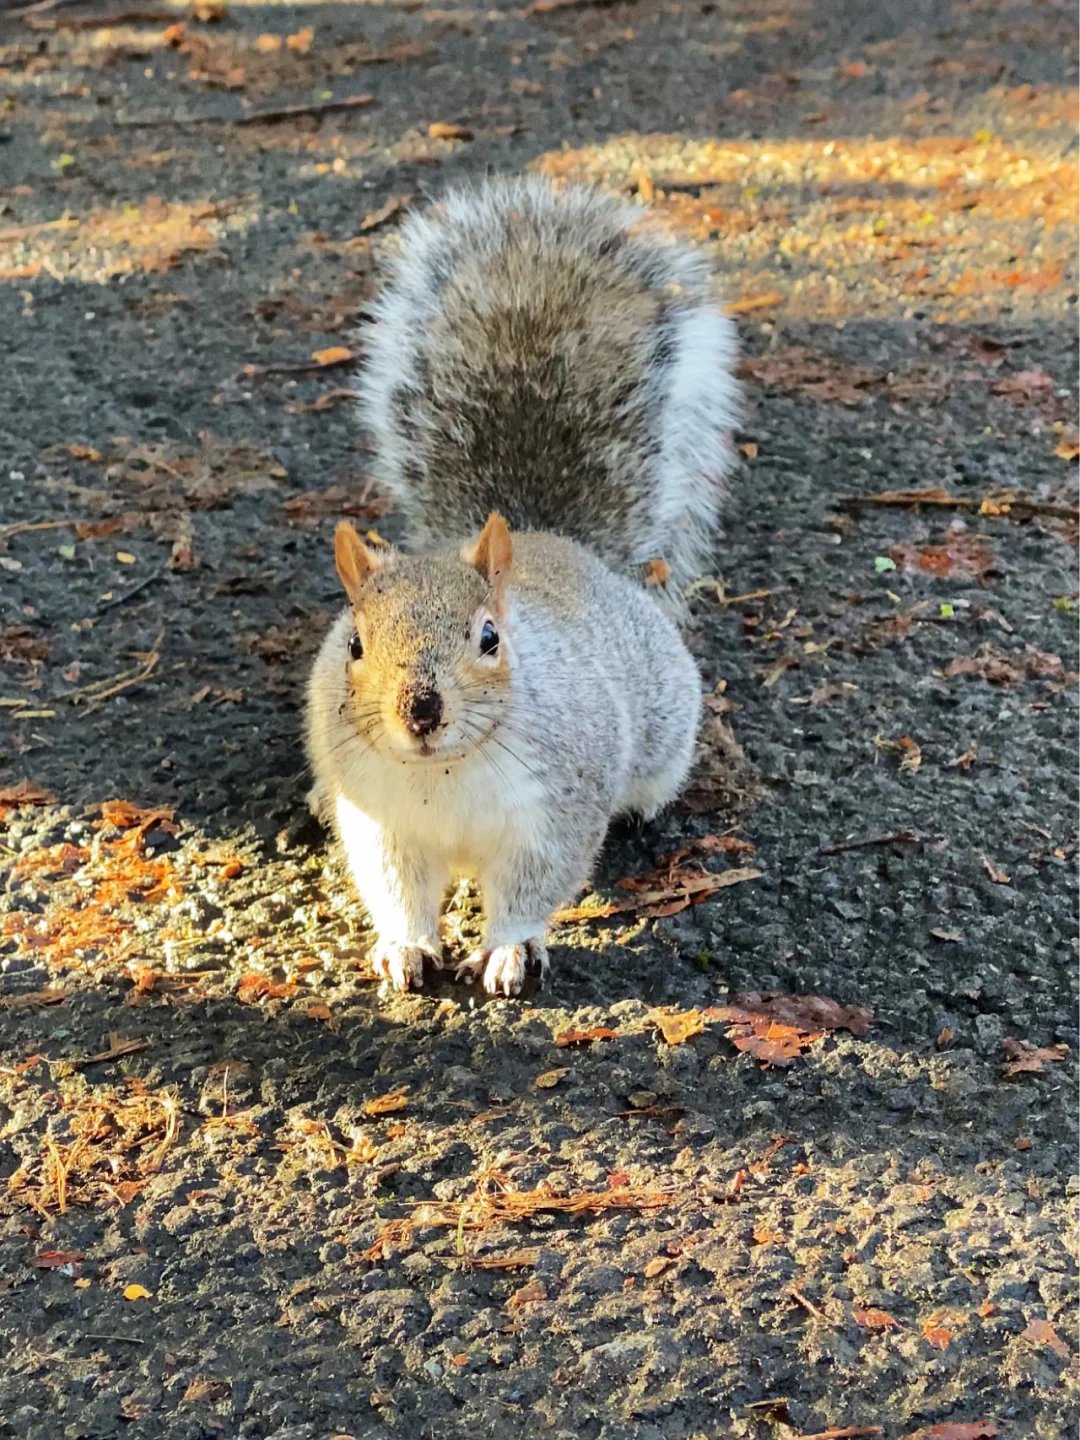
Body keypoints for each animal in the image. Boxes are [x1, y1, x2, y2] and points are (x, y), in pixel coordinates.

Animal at [308, 174, 743, 996]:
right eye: (353, 643)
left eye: (490, 637)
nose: (420, 711)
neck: (442, 775)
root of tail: (556, 541)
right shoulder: (382, 822)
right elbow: (398, 889)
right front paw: (405, 946)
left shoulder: (556, 808)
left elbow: (531, 887)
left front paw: (508, 951)